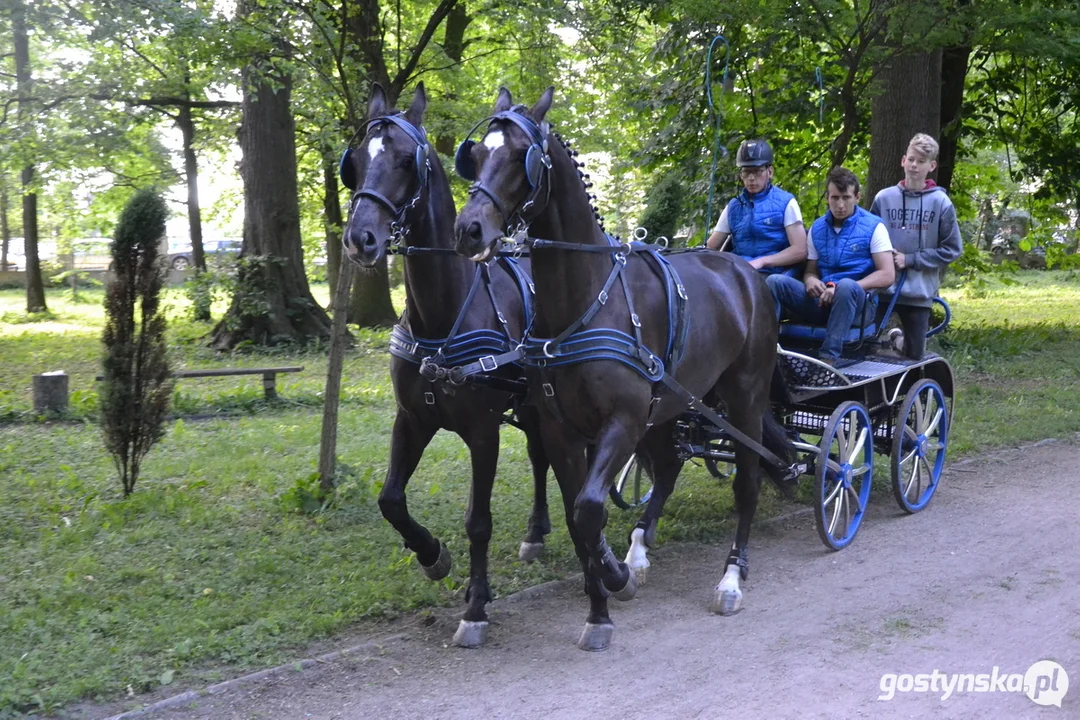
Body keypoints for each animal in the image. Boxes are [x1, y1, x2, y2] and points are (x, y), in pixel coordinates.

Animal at [341, 83, 552, 647]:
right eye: (356, 162)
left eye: (404, 160)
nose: (360, 239)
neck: (442, 317)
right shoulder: (412, 419)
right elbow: (390, 500)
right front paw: (432, 555)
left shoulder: (483, 431)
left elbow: (478, 520)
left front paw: (476, 605)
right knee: (541, 457)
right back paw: (537, 532)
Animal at [451, 87, 799, 651]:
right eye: (477, 154)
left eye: (522, 156)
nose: (468, 230)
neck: (586, 299)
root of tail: (747, 274)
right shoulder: (562, 430)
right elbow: (577, 516)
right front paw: (600, 608)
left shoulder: (623, 421)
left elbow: (590, 509)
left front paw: (612, 579)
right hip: (673, 403)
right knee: (671, 466)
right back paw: (639, 552)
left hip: (743, 397)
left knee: (746, 481)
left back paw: (731, 577)